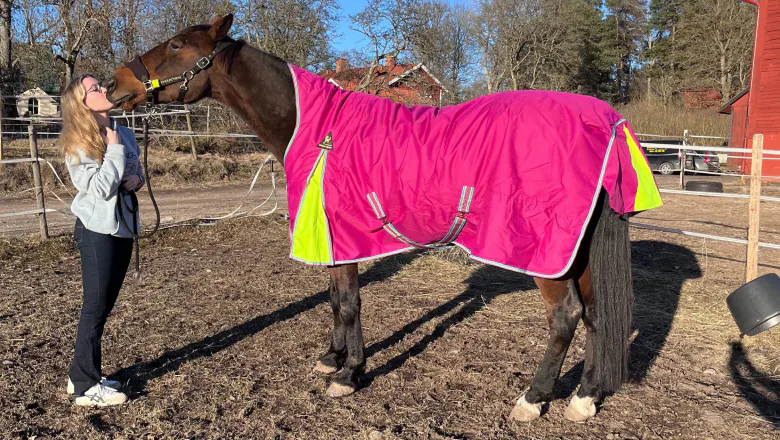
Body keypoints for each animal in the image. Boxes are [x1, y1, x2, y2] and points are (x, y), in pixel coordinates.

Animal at [105, 14, 663, 423]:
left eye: (178, 44)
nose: (114, 85)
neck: (319, 130)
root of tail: (606, 119)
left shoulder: (345, 235)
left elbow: (350, 303)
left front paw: (349, 375)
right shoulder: (332, 238)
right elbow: (334, 300)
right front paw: (331, 359)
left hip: (546, 252)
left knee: (565, 316)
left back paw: (532, 399)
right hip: (575, 251)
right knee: (595, 315)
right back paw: (584, 398)